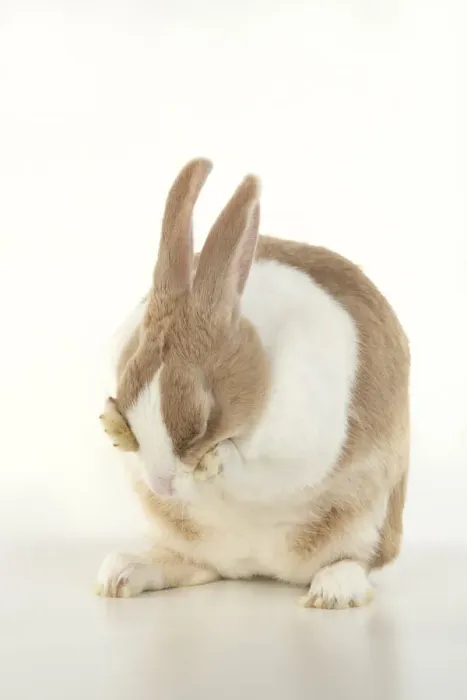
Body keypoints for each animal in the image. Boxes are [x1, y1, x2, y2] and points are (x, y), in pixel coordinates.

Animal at [96, 158, 410, 609]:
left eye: (203, 421)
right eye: (126, 396)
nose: (162, 486)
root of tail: (253, 566)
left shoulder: (300, 440)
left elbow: (257, 468)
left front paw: (216, 463)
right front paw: (112, 427)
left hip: (368, 520)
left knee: (353, 560)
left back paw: (332, 591)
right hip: (184, 538)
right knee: (195, 566)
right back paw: (122, 573)